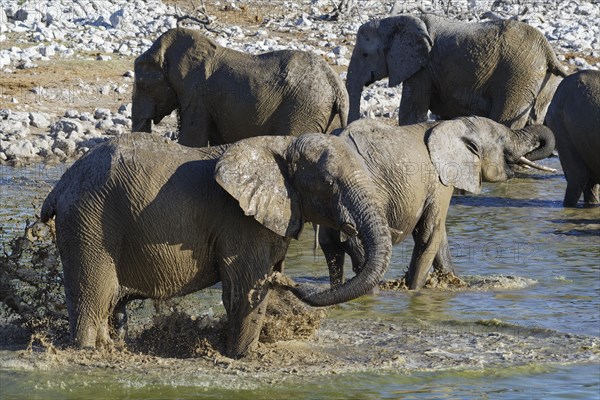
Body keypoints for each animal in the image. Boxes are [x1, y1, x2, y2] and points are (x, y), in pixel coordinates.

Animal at [39, 132, 392, 360]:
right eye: (330, 184)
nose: (290, 280)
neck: (282, 144)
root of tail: (60, 186)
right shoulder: (240, 222)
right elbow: (244, 289)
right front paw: (241, 357)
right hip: (89, 224)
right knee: (94, 300)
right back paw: (87, 351)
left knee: (111, 305)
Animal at [318, 117, 556, 290]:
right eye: (502, 139)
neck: (451, 124)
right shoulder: (439, 180)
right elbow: (430, 233)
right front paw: (414, 291)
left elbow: (439, 237)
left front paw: (456, 283)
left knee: (330, 246)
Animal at [346, 14, 568, 129]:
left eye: (365, 54)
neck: (395, 21)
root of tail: (547, 49)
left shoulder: (423, 68)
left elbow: (412, 114)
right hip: (542, 79)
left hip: (519, 72)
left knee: (505, 121)